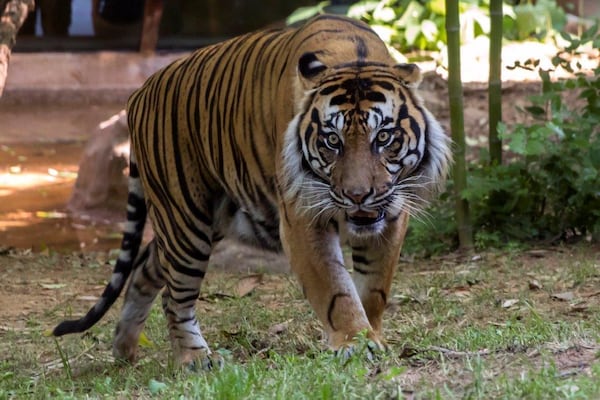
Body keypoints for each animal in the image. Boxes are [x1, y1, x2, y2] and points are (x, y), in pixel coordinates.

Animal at [52, 14, 450, 370]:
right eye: (332, 141)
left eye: (383, 137)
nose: (357, 195)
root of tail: (139, 93)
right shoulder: (303, 217)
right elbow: (337, 290)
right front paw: (353, 342)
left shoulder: (392, 213)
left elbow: (374, 289)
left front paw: (370, 336)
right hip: (185, 220)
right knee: (173, 294)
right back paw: (195, 359)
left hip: (207, 218)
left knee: (145, 267)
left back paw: (124, 349)